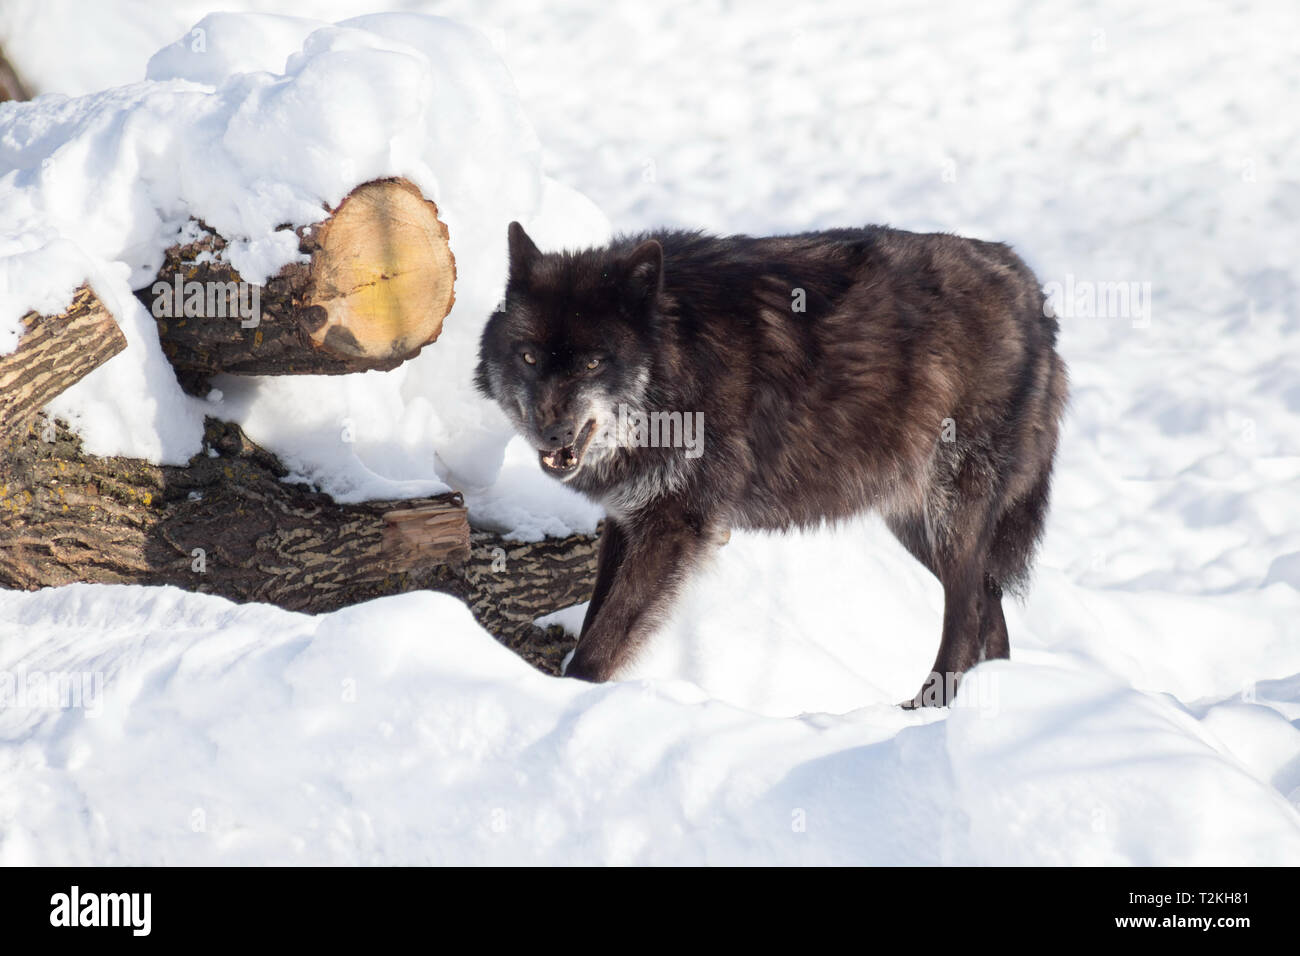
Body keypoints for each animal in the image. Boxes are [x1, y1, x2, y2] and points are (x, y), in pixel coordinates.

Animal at [478, 222, 1066, 702]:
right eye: (528, 357)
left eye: (594, 363)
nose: (550, 431)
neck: (677, 361)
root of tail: (1029, 284)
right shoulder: (629, 518)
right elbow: (598, 617)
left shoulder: (674, 525)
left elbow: (600, 644)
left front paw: (568, 705)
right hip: (912, 519)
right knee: (991, 610)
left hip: (950, 512)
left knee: (968, 614)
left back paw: (923, 711)